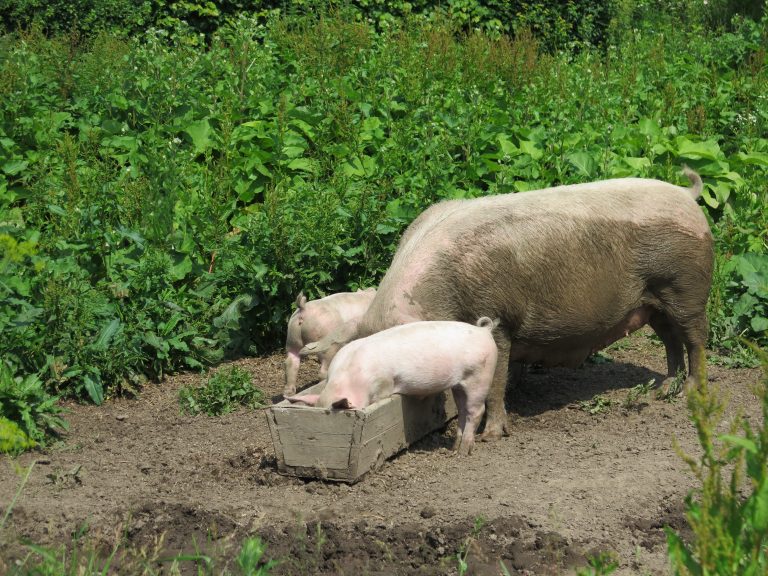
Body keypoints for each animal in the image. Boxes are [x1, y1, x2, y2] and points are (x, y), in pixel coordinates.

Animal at [286, 318, 498, 456]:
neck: (348, 376)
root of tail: (484, 331)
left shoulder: (384, 383)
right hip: (459, 384)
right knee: (463, 410)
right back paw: (454, 448)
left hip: (480, 376)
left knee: (477, 411)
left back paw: (463, 452)